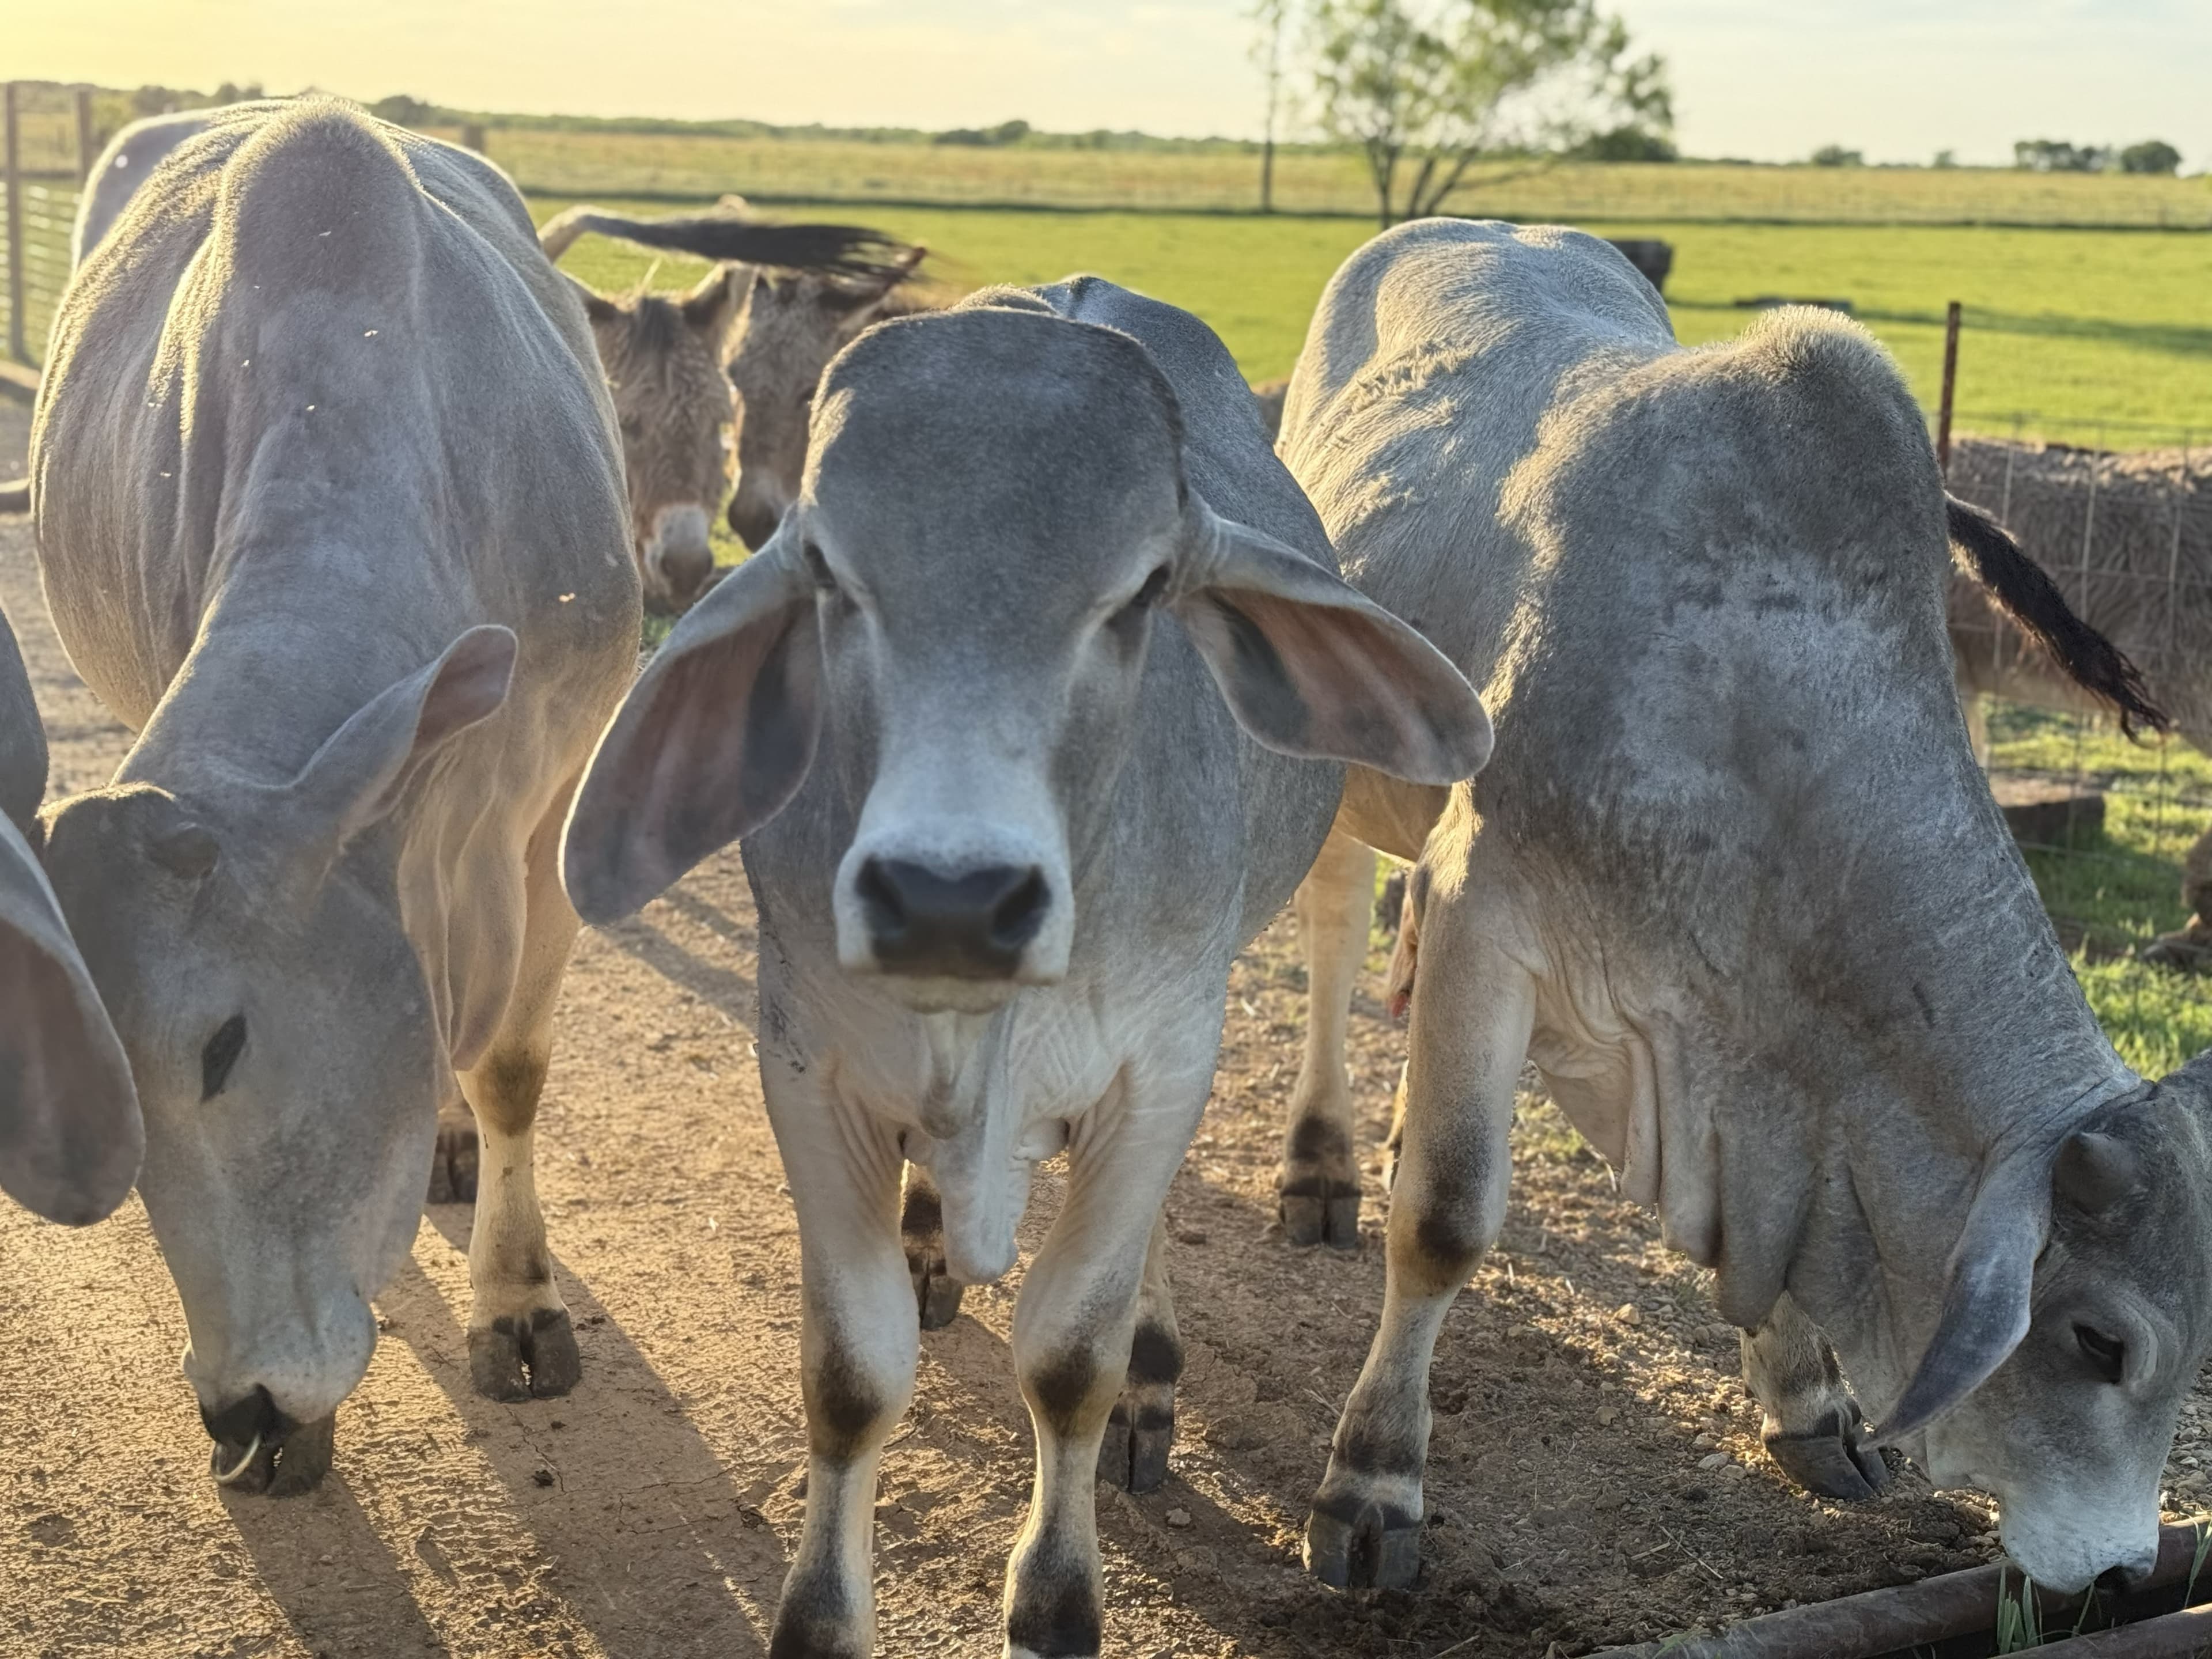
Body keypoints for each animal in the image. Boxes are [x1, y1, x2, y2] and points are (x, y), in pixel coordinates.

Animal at [29, 99, 645, 1495]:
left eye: (225, 1046)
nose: (237, 1408)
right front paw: (302, 1435)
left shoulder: (555, 809)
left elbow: (512, 1066)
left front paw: (516, 1305)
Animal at [560, 277, 1491, 1657]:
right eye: (827, 573)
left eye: (1145, 589)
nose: (949, 899)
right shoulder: (806, 1067)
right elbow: (849, 1375)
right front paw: (822, 1617)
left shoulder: (1164, 1060)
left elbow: (1069, 1359)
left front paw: (1057, 1595)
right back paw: (933, 1242)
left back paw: (1150, 1377)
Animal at [1276, 219, 2212, 1599]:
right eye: (2101, 1341)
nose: (2118, 1579)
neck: (1755, 726)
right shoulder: (1486, 913)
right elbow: (1444, 1221)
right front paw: (1374, 1483)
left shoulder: (1757, 1067)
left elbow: (1754, 1233)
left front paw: (1807, 1404)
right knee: (1340, 931)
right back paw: (1325, 1163)